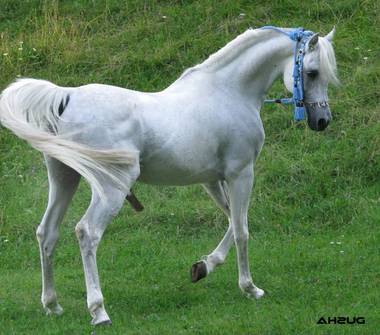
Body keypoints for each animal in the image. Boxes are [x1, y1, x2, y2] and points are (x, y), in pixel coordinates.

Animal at [0, 27, 338, 326]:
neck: (229, 92)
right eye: (312, 73)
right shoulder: (241, 173)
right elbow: (242, 229)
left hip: (64, 178)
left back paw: (52, 305)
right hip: (111, 188)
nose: (322, 121)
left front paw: (204, 267)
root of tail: (67, 97)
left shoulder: (212, 179)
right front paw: (250, 288)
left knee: (47, 233)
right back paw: (98, 311)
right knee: (87, 232)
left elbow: (233, 220)